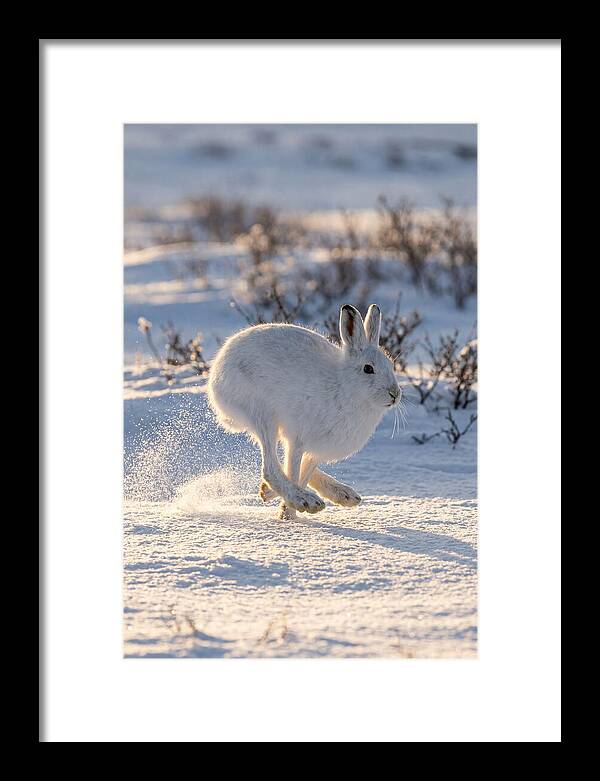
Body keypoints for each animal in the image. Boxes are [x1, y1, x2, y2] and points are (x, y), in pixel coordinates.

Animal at [207, 303, 401, 519]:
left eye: (391, 365)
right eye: (368, 369)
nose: (395, 393)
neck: (345, 386)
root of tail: (217, 372)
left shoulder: (316, 449)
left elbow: (303, 472)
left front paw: (283, 508)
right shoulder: (299, 439)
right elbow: (293, 471)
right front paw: (289, 514)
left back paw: (342, 495)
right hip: (262, 414)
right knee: (271, 468)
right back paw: (305, 500)